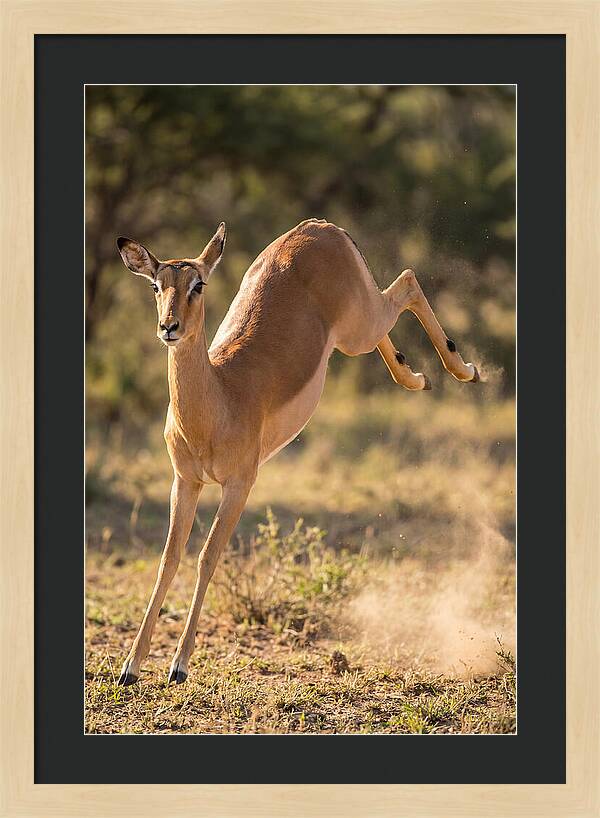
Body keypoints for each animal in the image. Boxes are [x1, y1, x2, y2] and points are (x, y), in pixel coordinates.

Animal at [115, 219, 479, 686]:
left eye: (198, 284)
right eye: (156, 285)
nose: (169, 327)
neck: (218, 398)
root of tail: (320, 226)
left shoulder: (239, 484)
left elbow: (207, 556)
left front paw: (178, 665)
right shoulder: (186, 481)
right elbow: (168, 560)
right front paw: (130, 666)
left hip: (359, 326)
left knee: (409, 280)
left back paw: (464, 370)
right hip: (355, 330)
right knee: (395, 308)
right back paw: (416, 377)